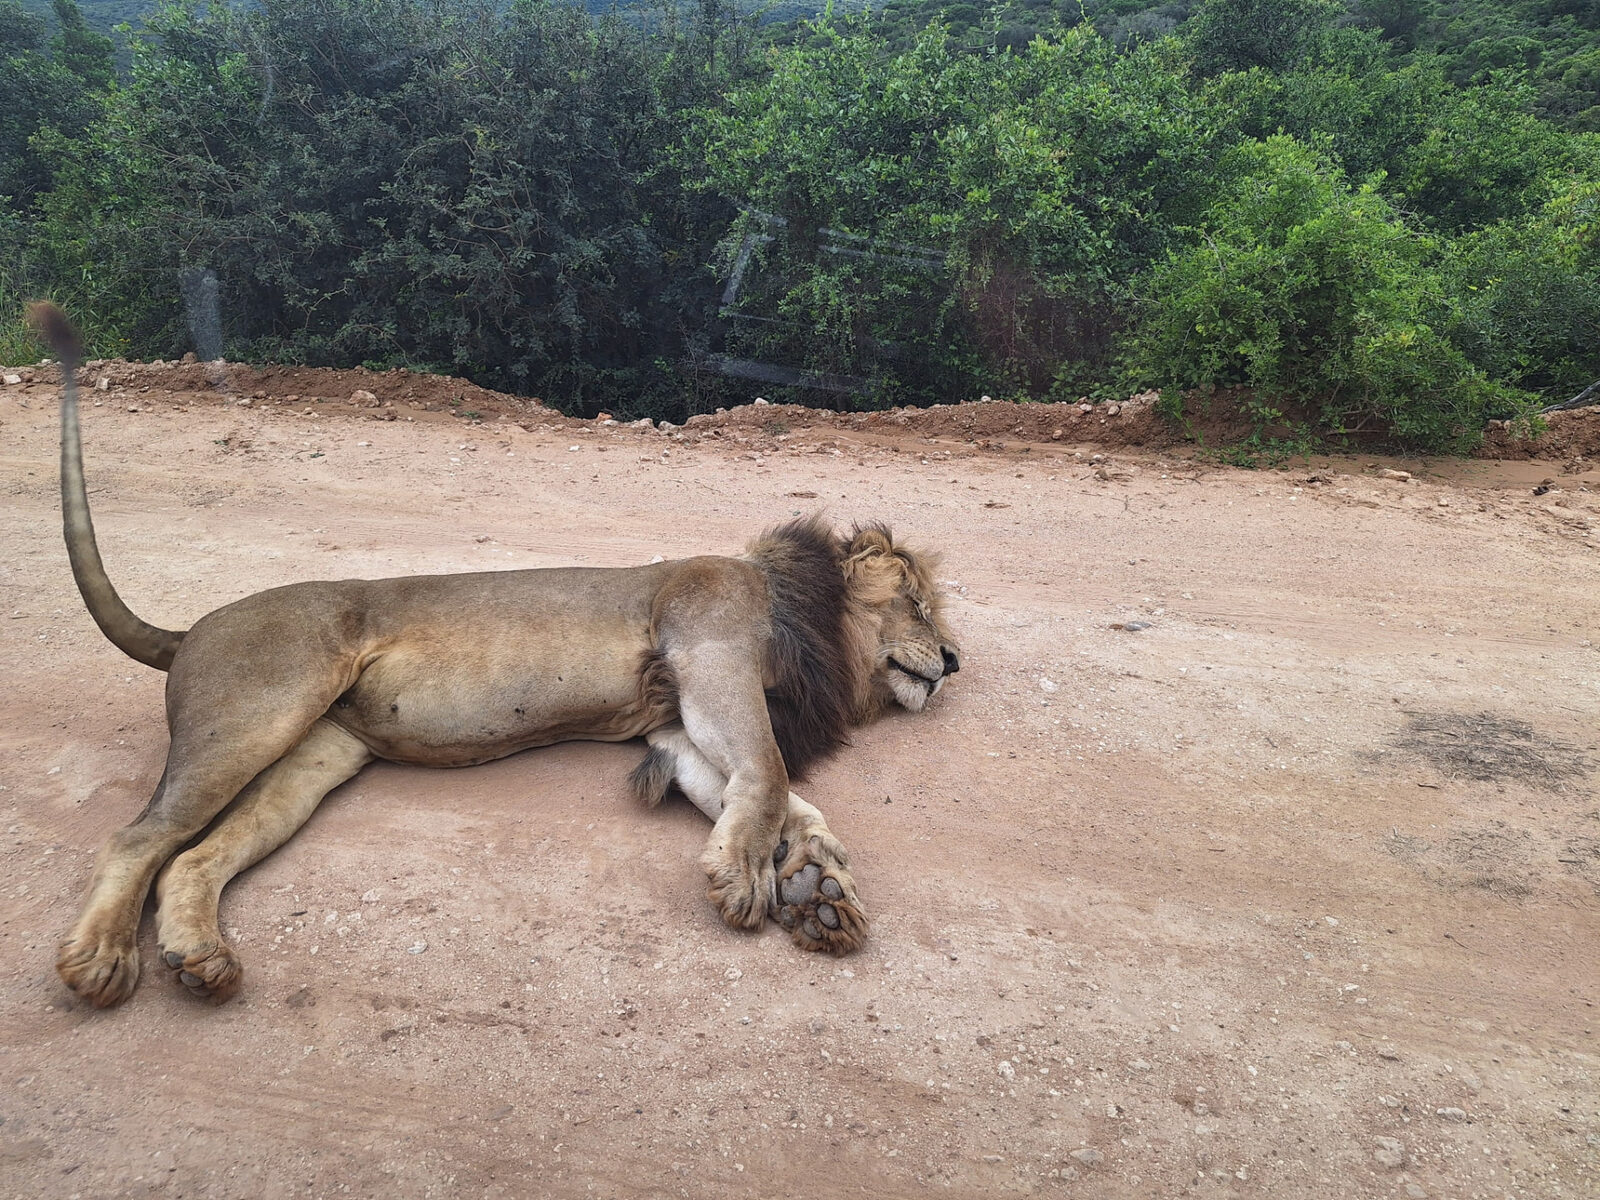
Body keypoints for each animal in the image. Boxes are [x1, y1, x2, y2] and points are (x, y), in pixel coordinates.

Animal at [31, 304, 961, 1009]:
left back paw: (200, 958)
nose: (954, 661)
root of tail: (190, 629)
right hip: (264, 708)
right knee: (137, 838)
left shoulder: (673, 727)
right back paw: (102, 961)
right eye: (917, 603)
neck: (800, 607)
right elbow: (766, 773)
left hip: (315, 756)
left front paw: (820, 887)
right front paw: (745, 878)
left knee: (194, 856)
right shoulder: (708, 650)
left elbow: (774, 795)